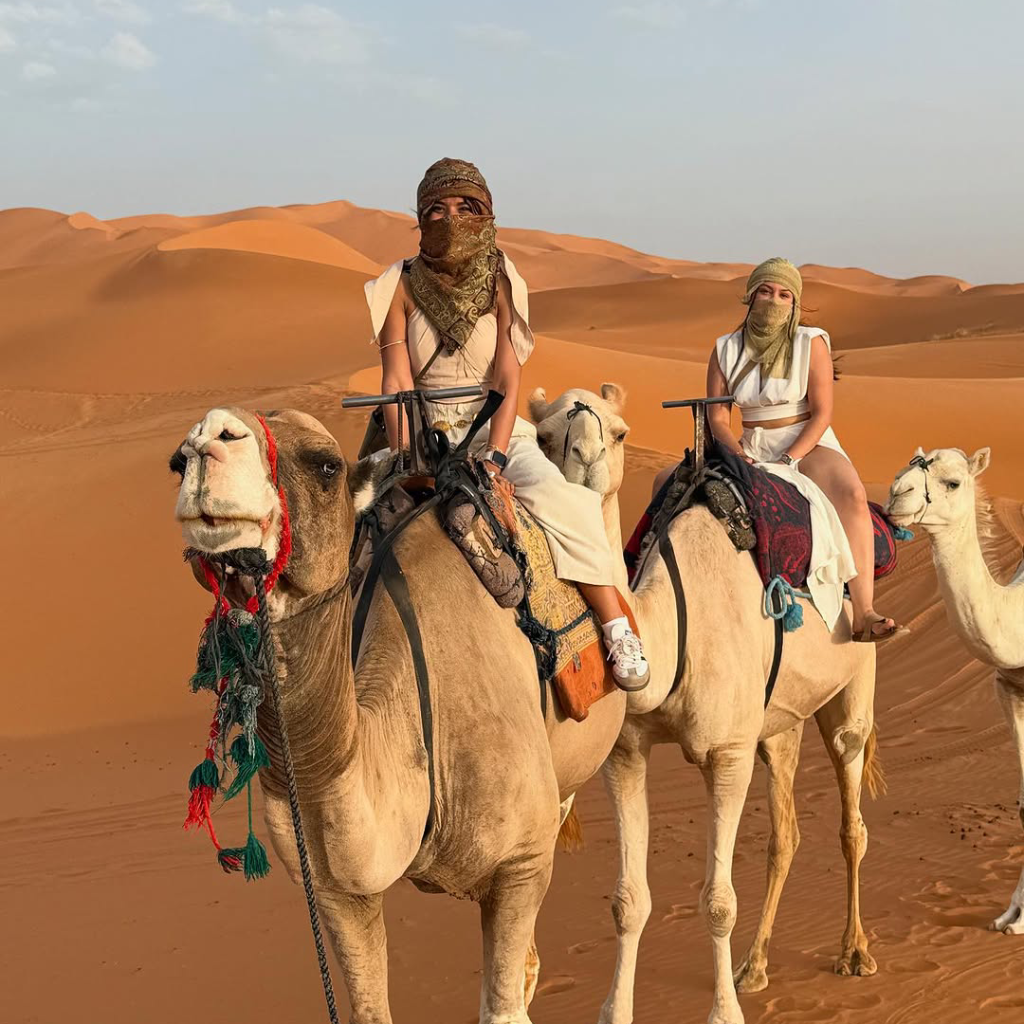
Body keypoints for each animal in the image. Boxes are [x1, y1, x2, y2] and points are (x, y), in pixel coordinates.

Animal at [171, 406, 629, 1024]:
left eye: (326, 465)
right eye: (175, 464)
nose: (207, 440)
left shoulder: (521, 863)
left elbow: (503, 1006)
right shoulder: (337, 890)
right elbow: (370, 1008)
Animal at [529, 384, 881, 1024]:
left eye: (619, 431)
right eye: (543, 436)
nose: (585, 456)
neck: (673, 633)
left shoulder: (728, 752)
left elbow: (718, 900)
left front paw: (723, 1013)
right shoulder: (627, 754)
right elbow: (628, 901)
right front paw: (616, 1010)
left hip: (854, 685)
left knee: (852, 818)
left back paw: (855, 952)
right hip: (777, 726)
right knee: (786, 833)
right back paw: (756, 966)